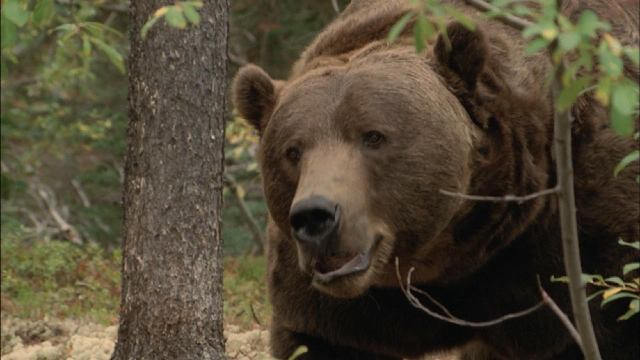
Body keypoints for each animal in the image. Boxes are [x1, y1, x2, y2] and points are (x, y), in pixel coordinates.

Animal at [232, 0, 640, 360]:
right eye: (292, 151)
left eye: (373, 136)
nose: (315, 216)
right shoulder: (339, 306)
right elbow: (319, 337)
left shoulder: (588, 220)